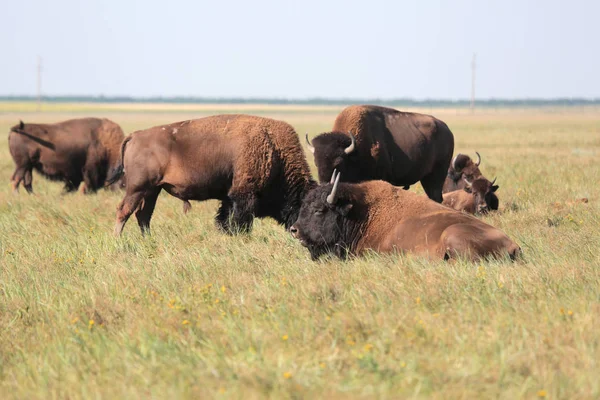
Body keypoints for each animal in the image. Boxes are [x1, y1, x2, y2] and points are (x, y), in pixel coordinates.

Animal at [308, 104, 452, 202]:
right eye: (316, 162)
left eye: (338, 162)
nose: (324, 185)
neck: (355, 151)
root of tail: (447, 129)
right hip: (426, 178)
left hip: (437, 176)